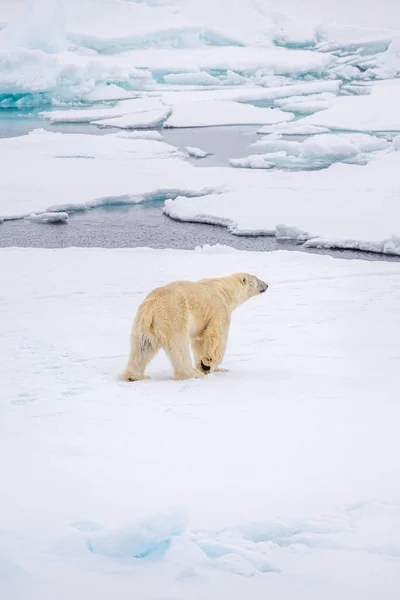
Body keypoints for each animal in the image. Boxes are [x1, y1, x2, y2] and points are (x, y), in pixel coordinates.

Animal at [120, 272, 268, 380]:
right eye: (257, 279)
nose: (266, 285)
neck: (225, 290)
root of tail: (151, 306)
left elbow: (200, 341)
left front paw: (213, 367)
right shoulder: (219, 309)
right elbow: (216, 335)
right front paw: (208, 364)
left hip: (143, 324)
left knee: (142, 347)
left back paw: (134, 376)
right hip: (174, 315)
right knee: (179, 346)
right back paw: (190, 373)